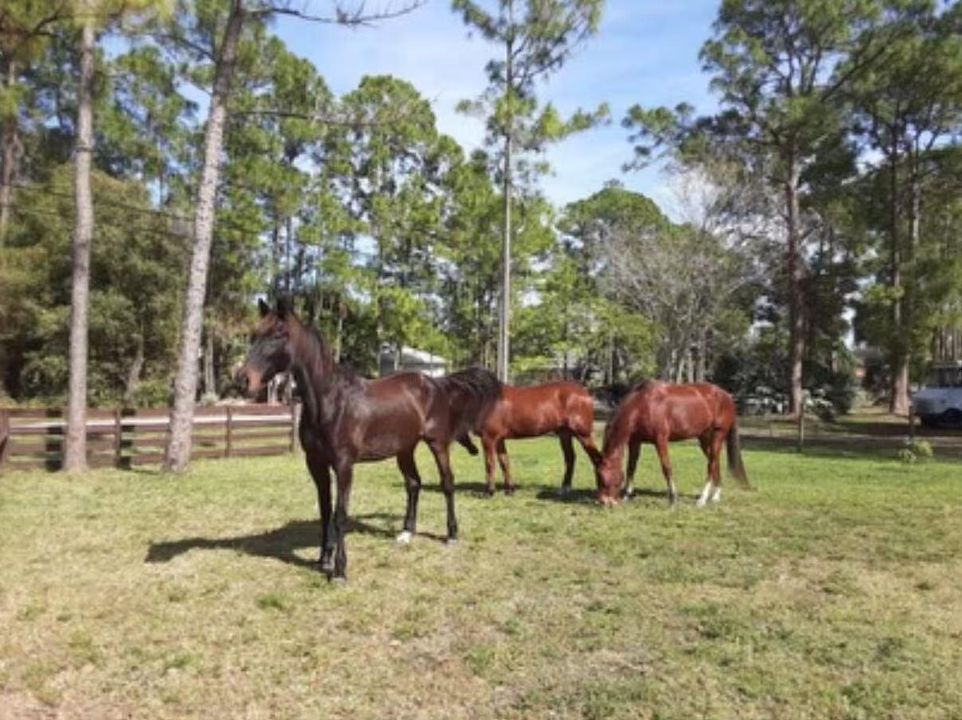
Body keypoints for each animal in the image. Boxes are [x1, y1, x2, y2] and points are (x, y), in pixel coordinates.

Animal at [237, 298, 501, 581]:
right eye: (254, 334)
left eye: (279, 335)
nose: (243, 380)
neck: (330, 400)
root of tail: (436, 382)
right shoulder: (316, 464)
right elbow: (325, 511)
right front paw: (324, 560)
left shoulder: (343, 465)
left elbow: (340, 515)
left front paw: (340, 570)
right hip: (404, 449)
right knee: (414, 484)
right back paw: (406, 533)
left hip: (437, 444)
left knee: (447, 483)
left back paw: (451, 534)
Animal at [466, 381, 602, 495]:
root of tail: (585, 392)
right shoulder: (499, 439)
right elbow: (504, 462)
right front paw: (509, 490)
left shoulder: (488, 438)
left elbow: (490, 463)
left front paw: (489, 492)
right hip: (564, 433)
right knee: (570, 458)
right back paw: (564, 489)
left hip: (583, 434)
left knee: (596, 458)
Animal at [596, 381, 750, 506]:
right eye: (598, 476)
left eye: (604, 477)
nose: (603, 501)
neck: (644, 405)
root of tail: (726, 396)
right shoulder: (635, 441)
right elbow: (631, 468)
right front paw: (627, 496)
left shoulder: (661, 440)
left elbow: (666, 467)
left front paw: (673, 498)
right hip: (705, 439)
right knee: (715, 462)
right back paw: (716, 496)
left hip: (718, 435)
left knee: (711, 465)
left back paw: (703, 499)